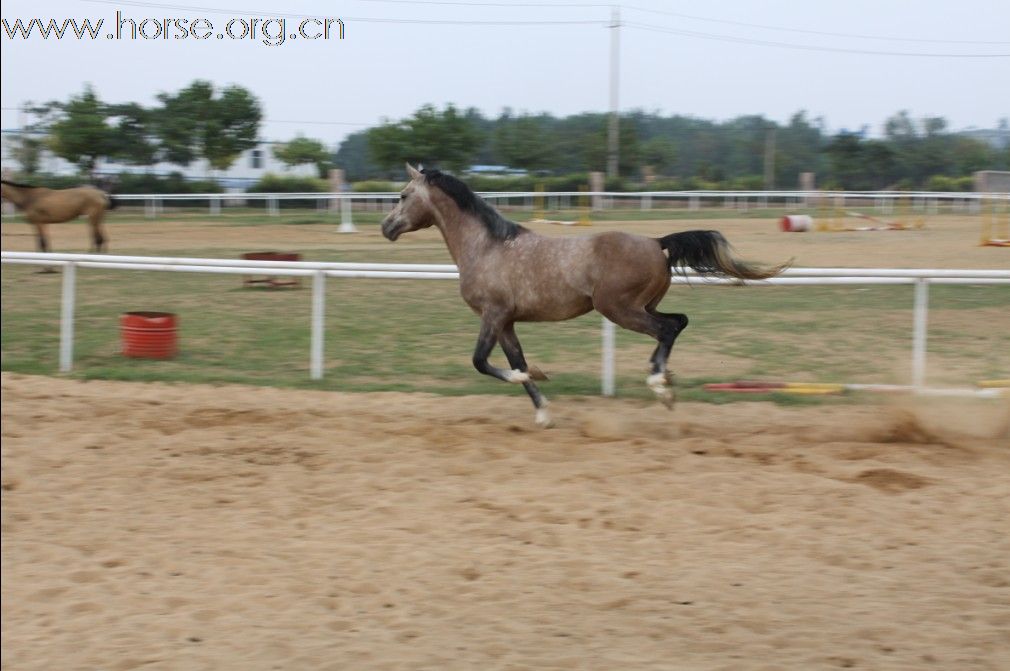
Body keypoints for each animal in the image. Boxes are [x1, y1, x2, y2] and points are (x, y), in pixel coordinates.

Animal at [379, 163, 787, 424]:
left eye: (403, 195)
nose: (386, 227)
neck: (487, 247)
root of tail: (657, 243)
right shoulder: (507, 322)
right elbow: (516, 361)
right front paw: (543, 411)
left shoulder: (492, 316)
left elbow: (483, 362)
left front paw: (536, 378)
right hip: (642, 306)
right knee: (678, 322)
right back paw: (665, 380)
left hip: (620, 309)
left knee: (668, 328)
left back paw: (660, 385)